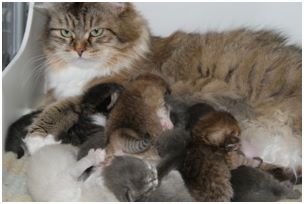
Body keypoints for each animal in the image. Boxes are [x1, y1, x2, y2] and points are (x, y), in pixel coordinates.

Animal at [29, 2, 302, 175]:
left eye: (95, 32)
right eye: (66, 32)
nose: (78, 50)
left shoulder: (104, 88)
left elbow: (61, 107)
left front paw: (35, 139)